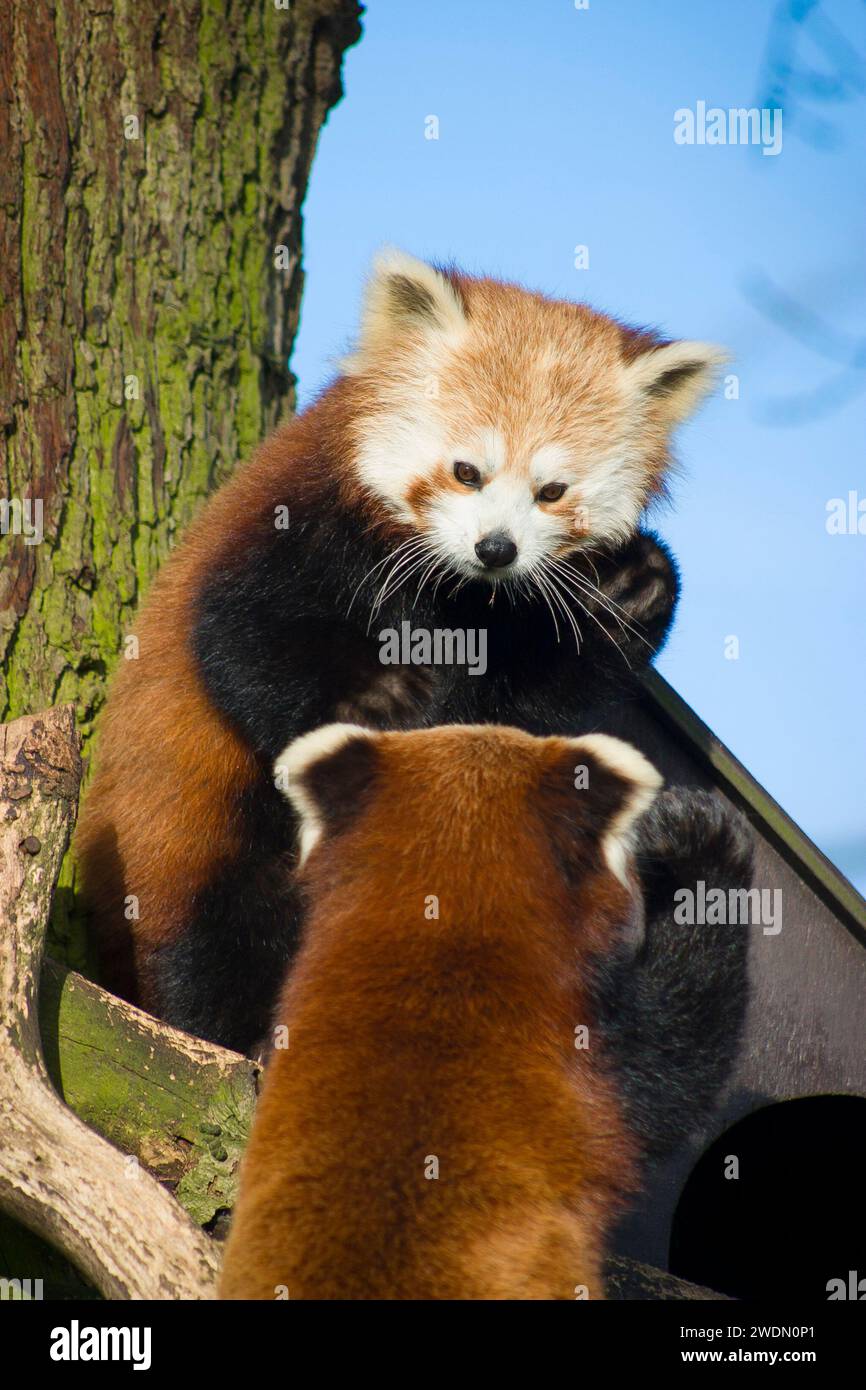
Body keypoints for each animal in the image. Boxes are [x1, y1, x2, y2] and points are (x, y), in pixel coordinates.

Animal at [74, 250, 728, 1050]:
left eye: (551, 491)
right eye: (467, 471)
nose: (496, 548)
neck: (457, 591)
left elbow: (527, 712)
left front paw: (633, 586)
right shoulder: (286, 532)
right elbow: (246, 641)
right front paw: (379, 700)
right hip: (189, 833)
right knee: (216, 933)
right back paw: (241, 1033)